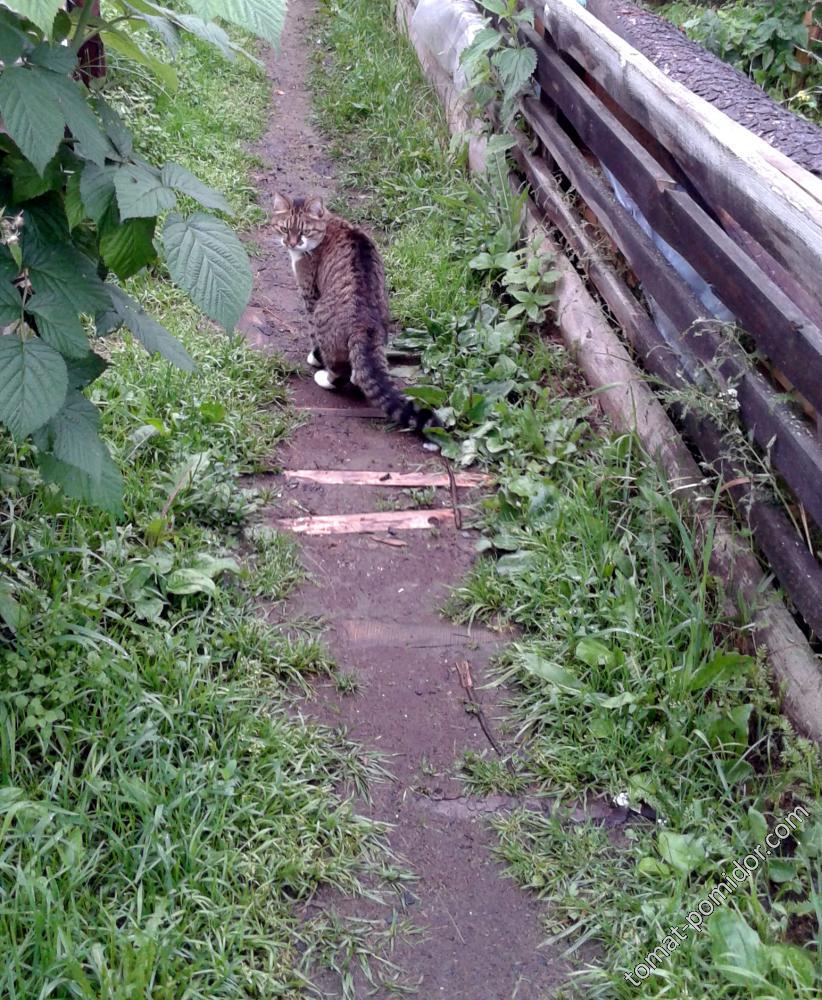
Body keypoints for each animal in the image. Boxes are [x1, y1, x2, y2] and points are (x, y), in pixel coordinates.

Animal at [272, 193, 440, 436]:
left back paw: (324, 377)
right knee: (357, 372)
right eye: (285, 229)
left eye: (304, 231)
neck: (328, 225)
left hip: (323, 316)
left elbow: (313, 336)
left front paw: (314, 357)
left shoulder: (310, 294)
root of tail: (365, 323)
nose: (291, 243)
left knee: (338, 371)